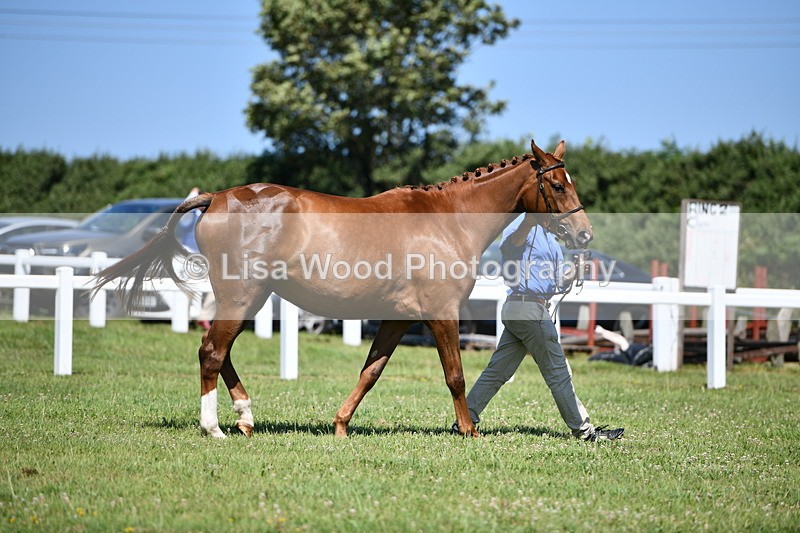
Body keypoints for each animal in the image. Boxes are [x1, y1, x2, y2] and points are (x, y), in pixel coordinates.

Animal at [93, 139, 592, 439]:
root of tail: (215, 197)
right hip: (242, 294)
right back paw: (214, 427)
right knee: (212, 351)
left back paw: (246, 417)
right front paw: (468, 431)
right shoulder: (441, 313)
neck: (447, 219)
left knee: (221, 350)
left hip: (250, 297)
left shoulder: (398, 319)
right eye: (555, 184)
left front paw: (340, 426)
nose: (584, 234)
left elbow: (371, 371)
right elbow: (455, 375)